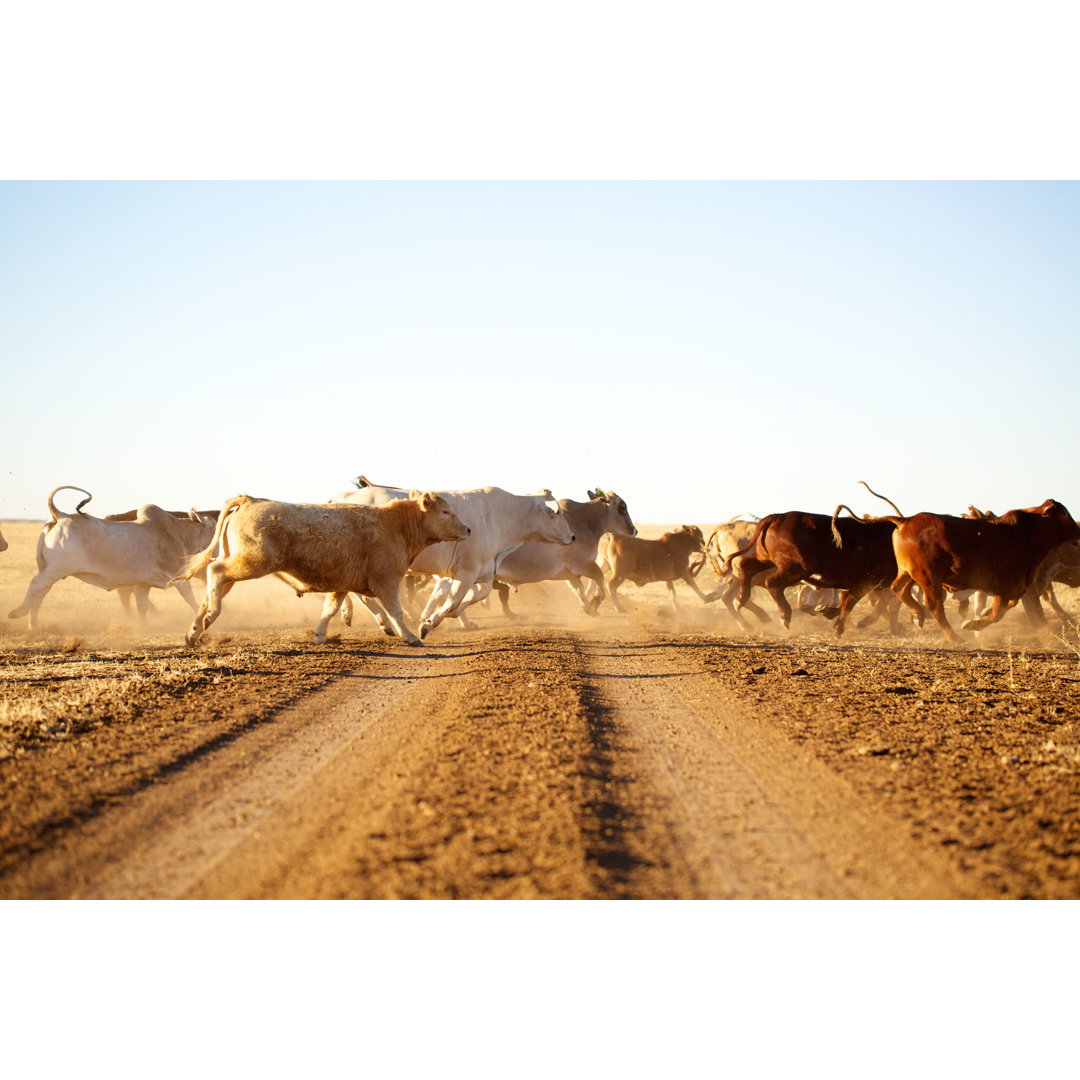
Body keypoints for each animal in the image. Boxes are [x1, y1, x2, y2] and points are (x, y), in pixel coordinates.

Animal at [6, 486, 217, 630]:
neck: (179, 533)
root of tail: (61, 515)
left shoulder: (142, 585)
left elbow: (142, 606)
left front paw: (144, 626)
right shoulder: (179, 577)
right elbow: (192, 600)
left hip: (48, 568)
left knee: (40, 593)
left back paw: (33, 624)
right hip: (55, 569)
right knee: (36, 585)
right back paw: (18, 612)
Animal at [172, 492, 468, 648]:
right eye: (445, 512)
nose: (468, 530)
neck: (394, 524)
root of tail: (251, 500)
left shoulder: (343, 584)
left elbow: (331, 608)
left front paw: (319, 634)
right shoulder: (386, 580)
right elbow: (396, 610)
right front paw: (410, 636)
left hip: (240, 562)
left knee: (212, 585)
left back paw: (194, 631)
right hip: (250, 563)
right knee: (215, 571)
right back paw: (210, 616)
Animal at [332, 477, 578, 635]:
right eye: (556, 513)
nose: (573, 536)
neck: (498, 516)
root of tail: (343, 497)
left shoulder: (479, 570)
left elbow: (472, 595)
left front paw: (439, 617)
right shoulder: (466, 570)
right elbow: (453, 599)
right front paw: (428, 623)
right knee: (362, 595)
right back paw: (378, 620)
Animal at [721, 511, 898, 635]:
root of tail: (778, 517)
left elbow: (846, 599)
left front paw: (829, 612)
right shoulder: (871, 579)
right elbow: (850, 600)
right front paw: (838, 627)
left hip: (766, 559)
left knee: (746, 566)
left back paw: (741, 599)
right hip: (797, 567)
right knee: (772, 583)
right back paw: (784, 615)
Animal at [876, 496, 1080, 639]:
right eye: (1063, 513)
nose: (1078, 530)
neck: (1025, 534)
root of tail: (906, 521)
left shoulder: (1016, 588)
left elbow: (1005, 607)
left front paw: (981, 615)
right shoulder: (1006, 587)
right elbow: (998, 613)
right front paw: (972, 624)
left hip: (910, 573)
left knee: (898, 589)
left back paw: (918, 615)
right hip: (928, 577)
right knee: (934, 606)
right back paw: (954, 637)